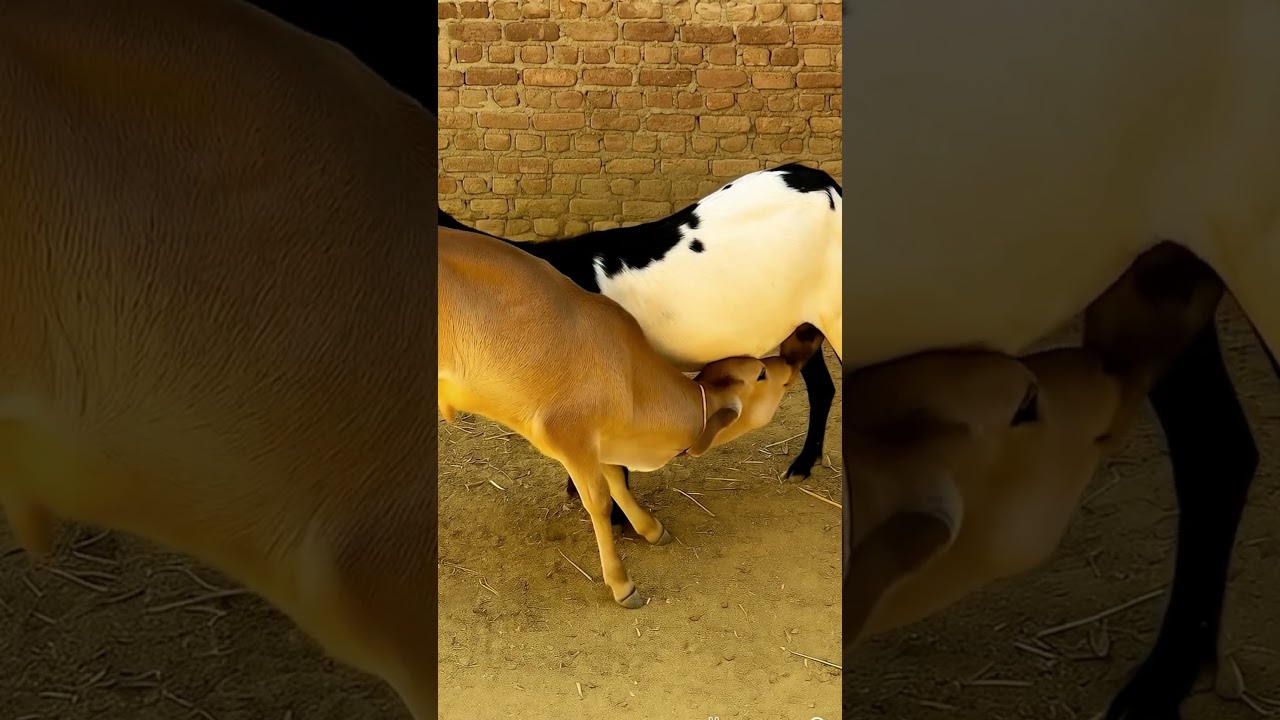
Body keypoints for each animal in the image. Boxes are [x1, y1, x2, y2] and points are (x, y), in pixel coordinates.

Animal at [438, 226, 821, 608]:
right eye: (761, 374)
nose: (787, 360)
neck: (631, 378)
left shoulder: (602, 439)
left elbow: (617, 483)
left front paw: (651, 528)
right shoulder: (570, 437)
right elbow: (600, 501)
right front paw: (622, 582)